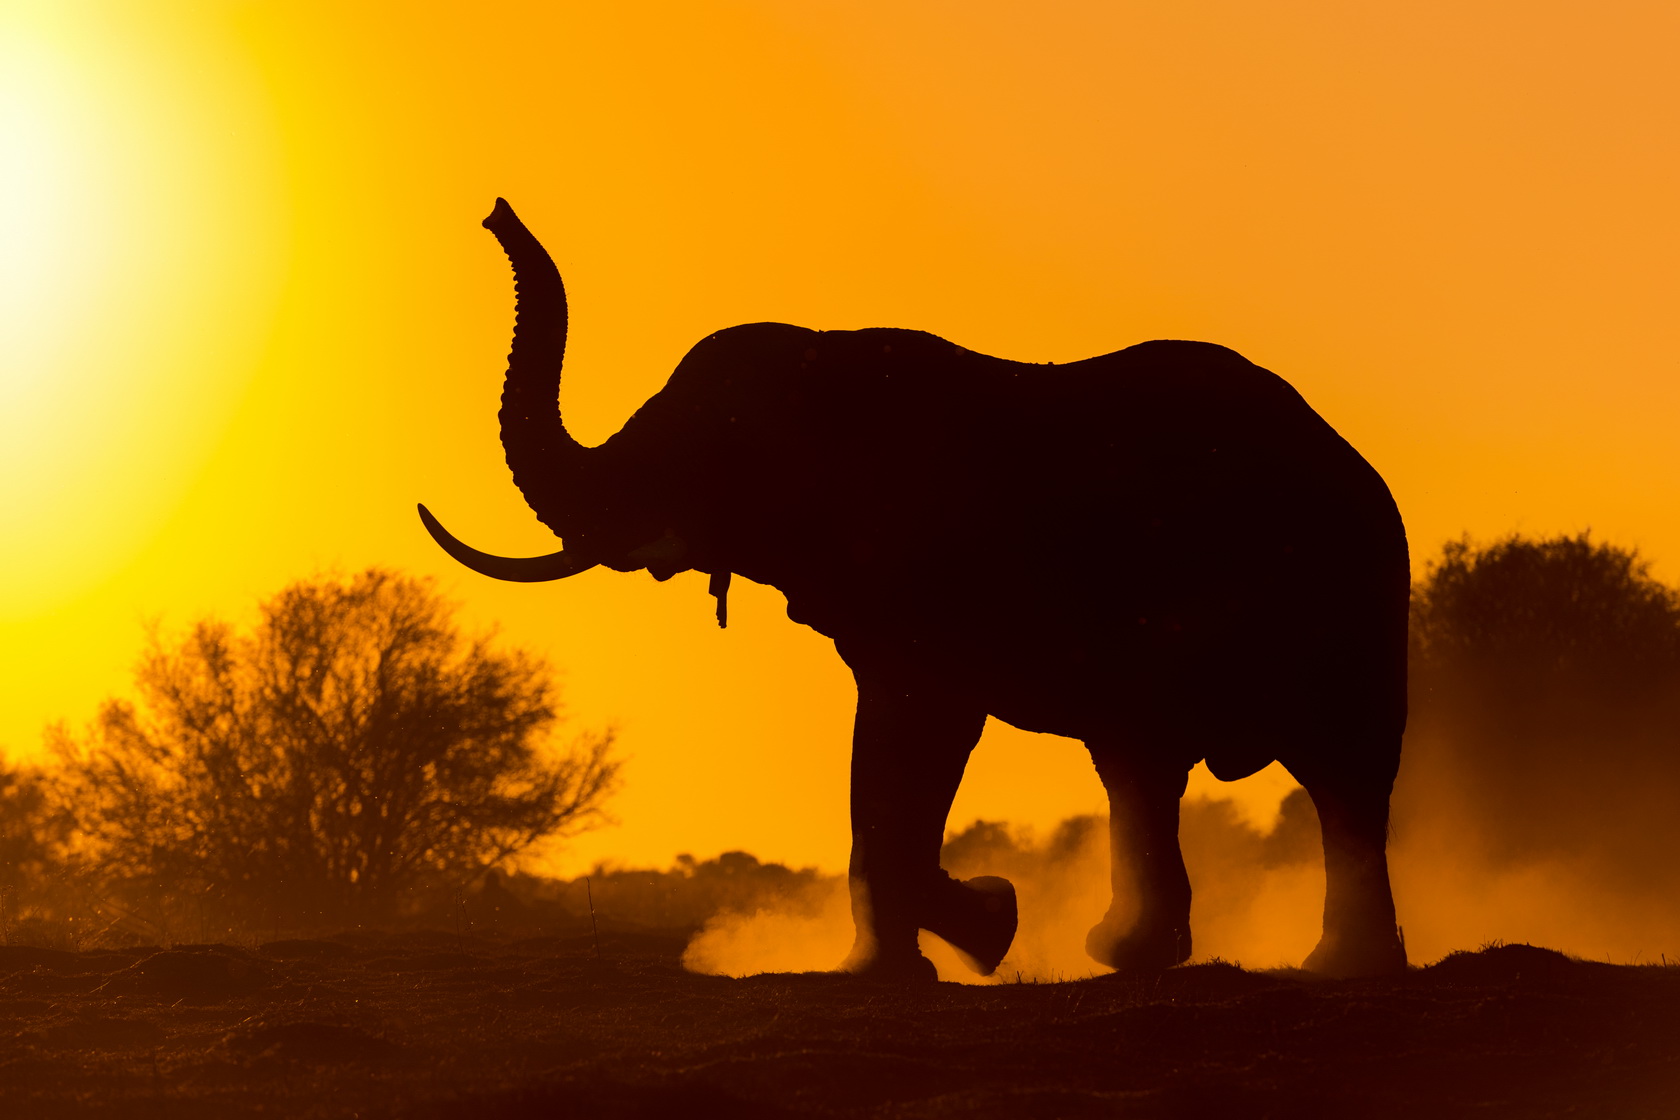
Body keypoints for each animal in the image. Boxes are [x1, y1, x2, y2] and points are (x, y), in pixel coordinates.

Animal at [420, 199, 1410, 981]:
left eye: (697, 445)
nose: (493, 211)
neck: (824, 366)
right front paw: (928, 948)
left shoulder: (932, 579)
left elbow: (920, 732)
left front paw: (981, 925)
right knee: (1145, 764)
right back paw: (1133, 954)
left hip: (1345, 592)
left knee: (1341, 773)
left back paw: (1334, 966)